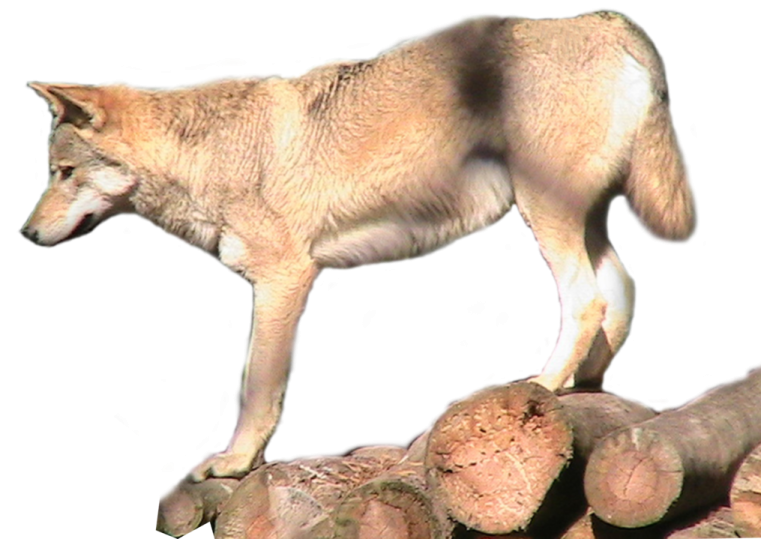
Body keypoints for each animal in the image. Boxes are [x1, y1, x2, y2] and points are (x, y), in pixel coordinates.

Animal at [20, 10, 698, 481]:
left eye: (63, 173)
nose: (25, 236)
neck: (209, 154)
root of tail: (604, 21)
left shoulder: (285, 280)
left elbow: (255, 389)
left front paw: (232, 464)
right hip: (578, 221)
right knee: (620, 292)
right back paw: (587, 387)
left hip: (546, 215)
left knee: (587, 301)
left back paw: (544, 387)